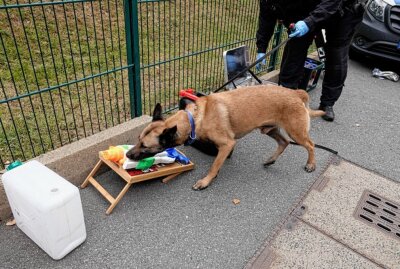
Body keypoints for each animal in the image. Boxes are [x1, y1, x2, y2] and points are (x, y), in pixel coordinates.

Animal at [126, 85, 324, 189]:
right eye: (137, 140)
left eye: (145, 146)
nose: (127, 155)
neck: (195, 118)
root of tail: (295, 92)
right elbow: (217, 163)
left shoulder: (227, 144)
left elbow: (214, 165)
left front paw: (206, 181)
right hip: (269, 130)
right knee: (284, 143)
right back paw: (271, 160)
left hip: (296, 132)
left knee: (311, 145)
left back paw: (311, 164)